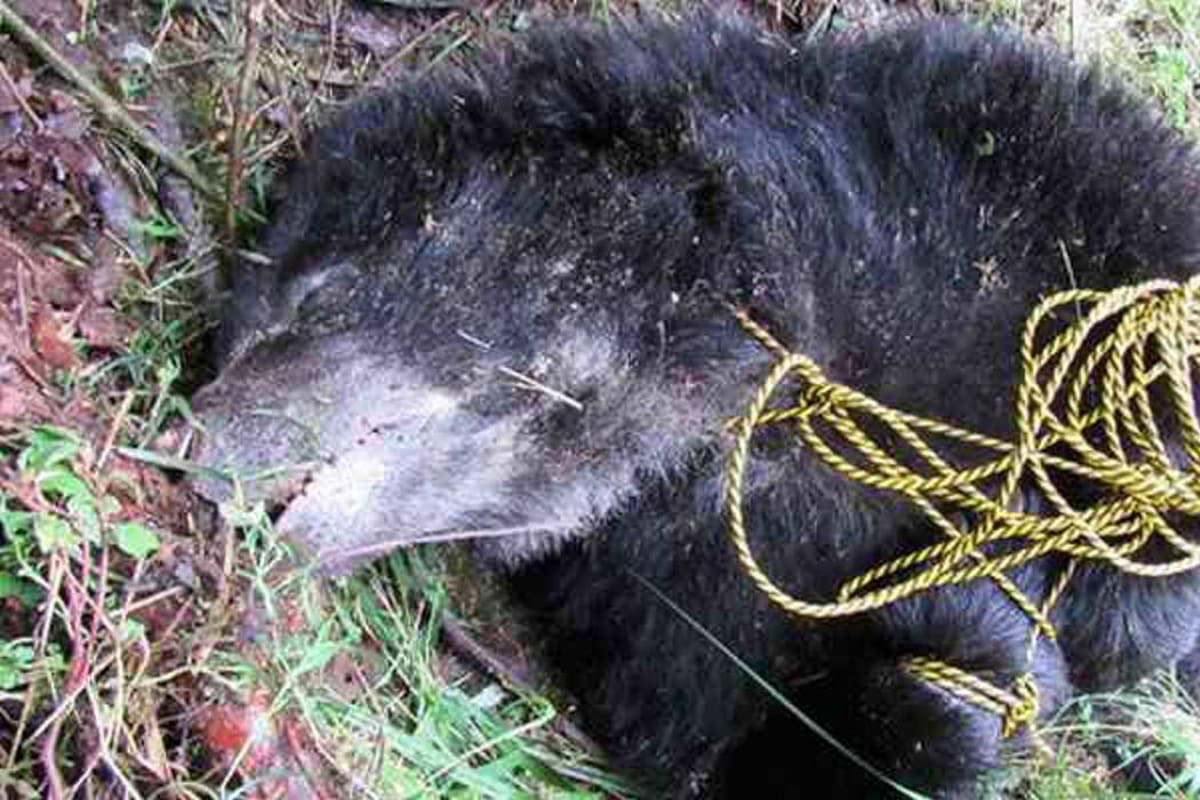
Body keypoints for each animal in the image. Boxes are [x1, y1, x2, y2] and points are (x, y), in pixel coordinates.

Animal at [190, 9, 1200, 798]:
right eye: (239, 325)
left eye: (312, 292)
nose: (200, 451)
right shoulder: (660, 583)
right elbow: (725, 740)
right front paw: (969, 644)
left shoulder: (1008, 185)